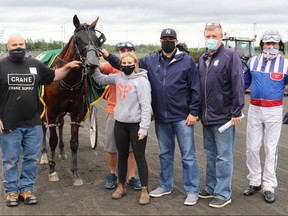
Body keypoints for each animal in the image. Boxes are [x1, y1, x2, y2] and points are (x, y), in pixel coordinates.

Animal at [39, 14, 107, 186]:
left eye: (97, 40)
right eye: (78, 39)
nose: (92, 64)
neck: (68, 79)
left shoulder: (76, 111)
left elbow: (74, 143)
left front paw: (75, 173)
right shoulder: (51, 110)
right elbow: (52, 139)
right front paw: (52, 170)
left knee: (61, 124)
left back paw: (62, 152)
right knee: (43, 127)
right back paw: (44, 155)